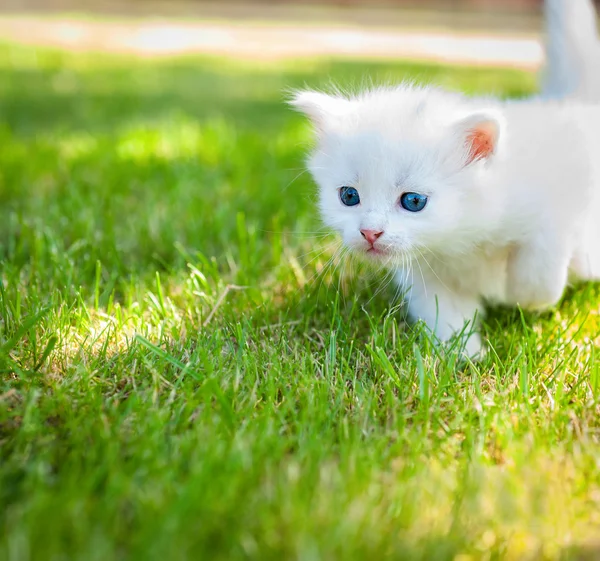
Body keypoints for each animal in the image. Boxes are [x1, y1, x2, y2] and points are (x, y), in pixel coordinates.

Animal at [292, 88, 600, 358]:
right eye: (349, 196)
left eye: (413, 201)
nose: (369, 232)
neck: (462, 236)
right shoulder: (428, 275)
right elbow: (446, 316)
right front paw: (466, 356)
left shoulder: (561, 201)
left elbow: (539, 276)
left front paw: (519, 297)